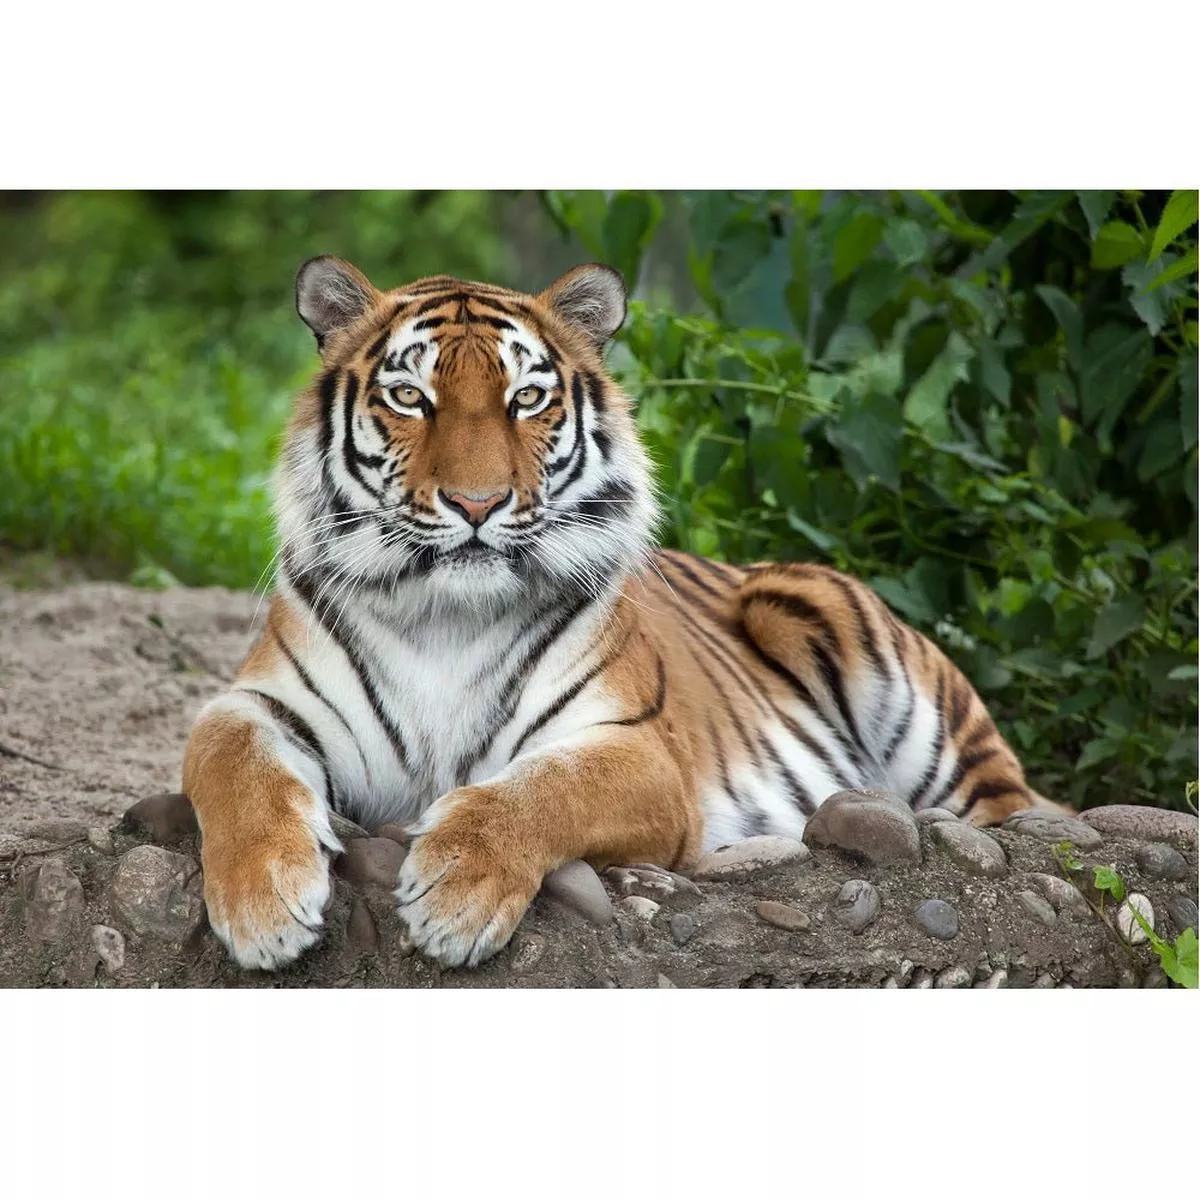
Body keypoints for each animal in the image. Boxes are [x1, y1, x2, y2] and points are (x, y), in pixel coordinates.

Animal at [183, 254, 1047, 971]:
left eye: (526, 399)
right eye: (409, 397)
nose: (476, 504)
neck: (445, 619)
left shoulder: (639, 750)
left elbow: (540, 790)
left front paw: (455, 894)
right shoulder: (258, 703)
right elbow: (234, 764)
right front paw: (264, 905)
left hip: (851, 642)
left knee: (1014, 809)